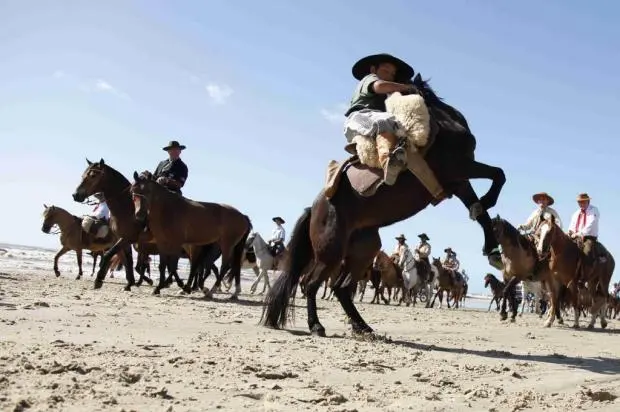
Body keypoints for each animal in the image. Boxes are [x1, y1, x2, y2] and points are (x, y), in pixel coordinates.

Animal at [131, 171, 252, 300]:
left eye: (148, 191)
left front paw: (176, 286)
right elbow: (163, 266)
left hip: (226, 245)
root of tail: (243, 216)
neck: (169, 210)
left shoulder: (176, 244)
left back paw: (211, 291)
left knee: (224, 266)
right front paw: (160, 287)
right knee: (233, 266)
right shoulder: (162, 243)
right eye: (133, 191)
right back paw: (234, 292)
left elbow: (172, 267)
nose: (139, 215)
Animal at [260, 74, 506, 336]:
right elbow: (498, 174)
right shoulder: (459, 167)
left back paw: (362, 327)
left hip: (363, 250)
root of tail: (316, 208)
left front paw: (493, 251)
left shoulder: (458, 181)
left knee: (341, 288)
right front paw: (488, 202)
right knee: (311, 284)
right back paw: (317, 325)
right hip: (331, 253)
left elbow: (484, 209)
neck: (442, 124)